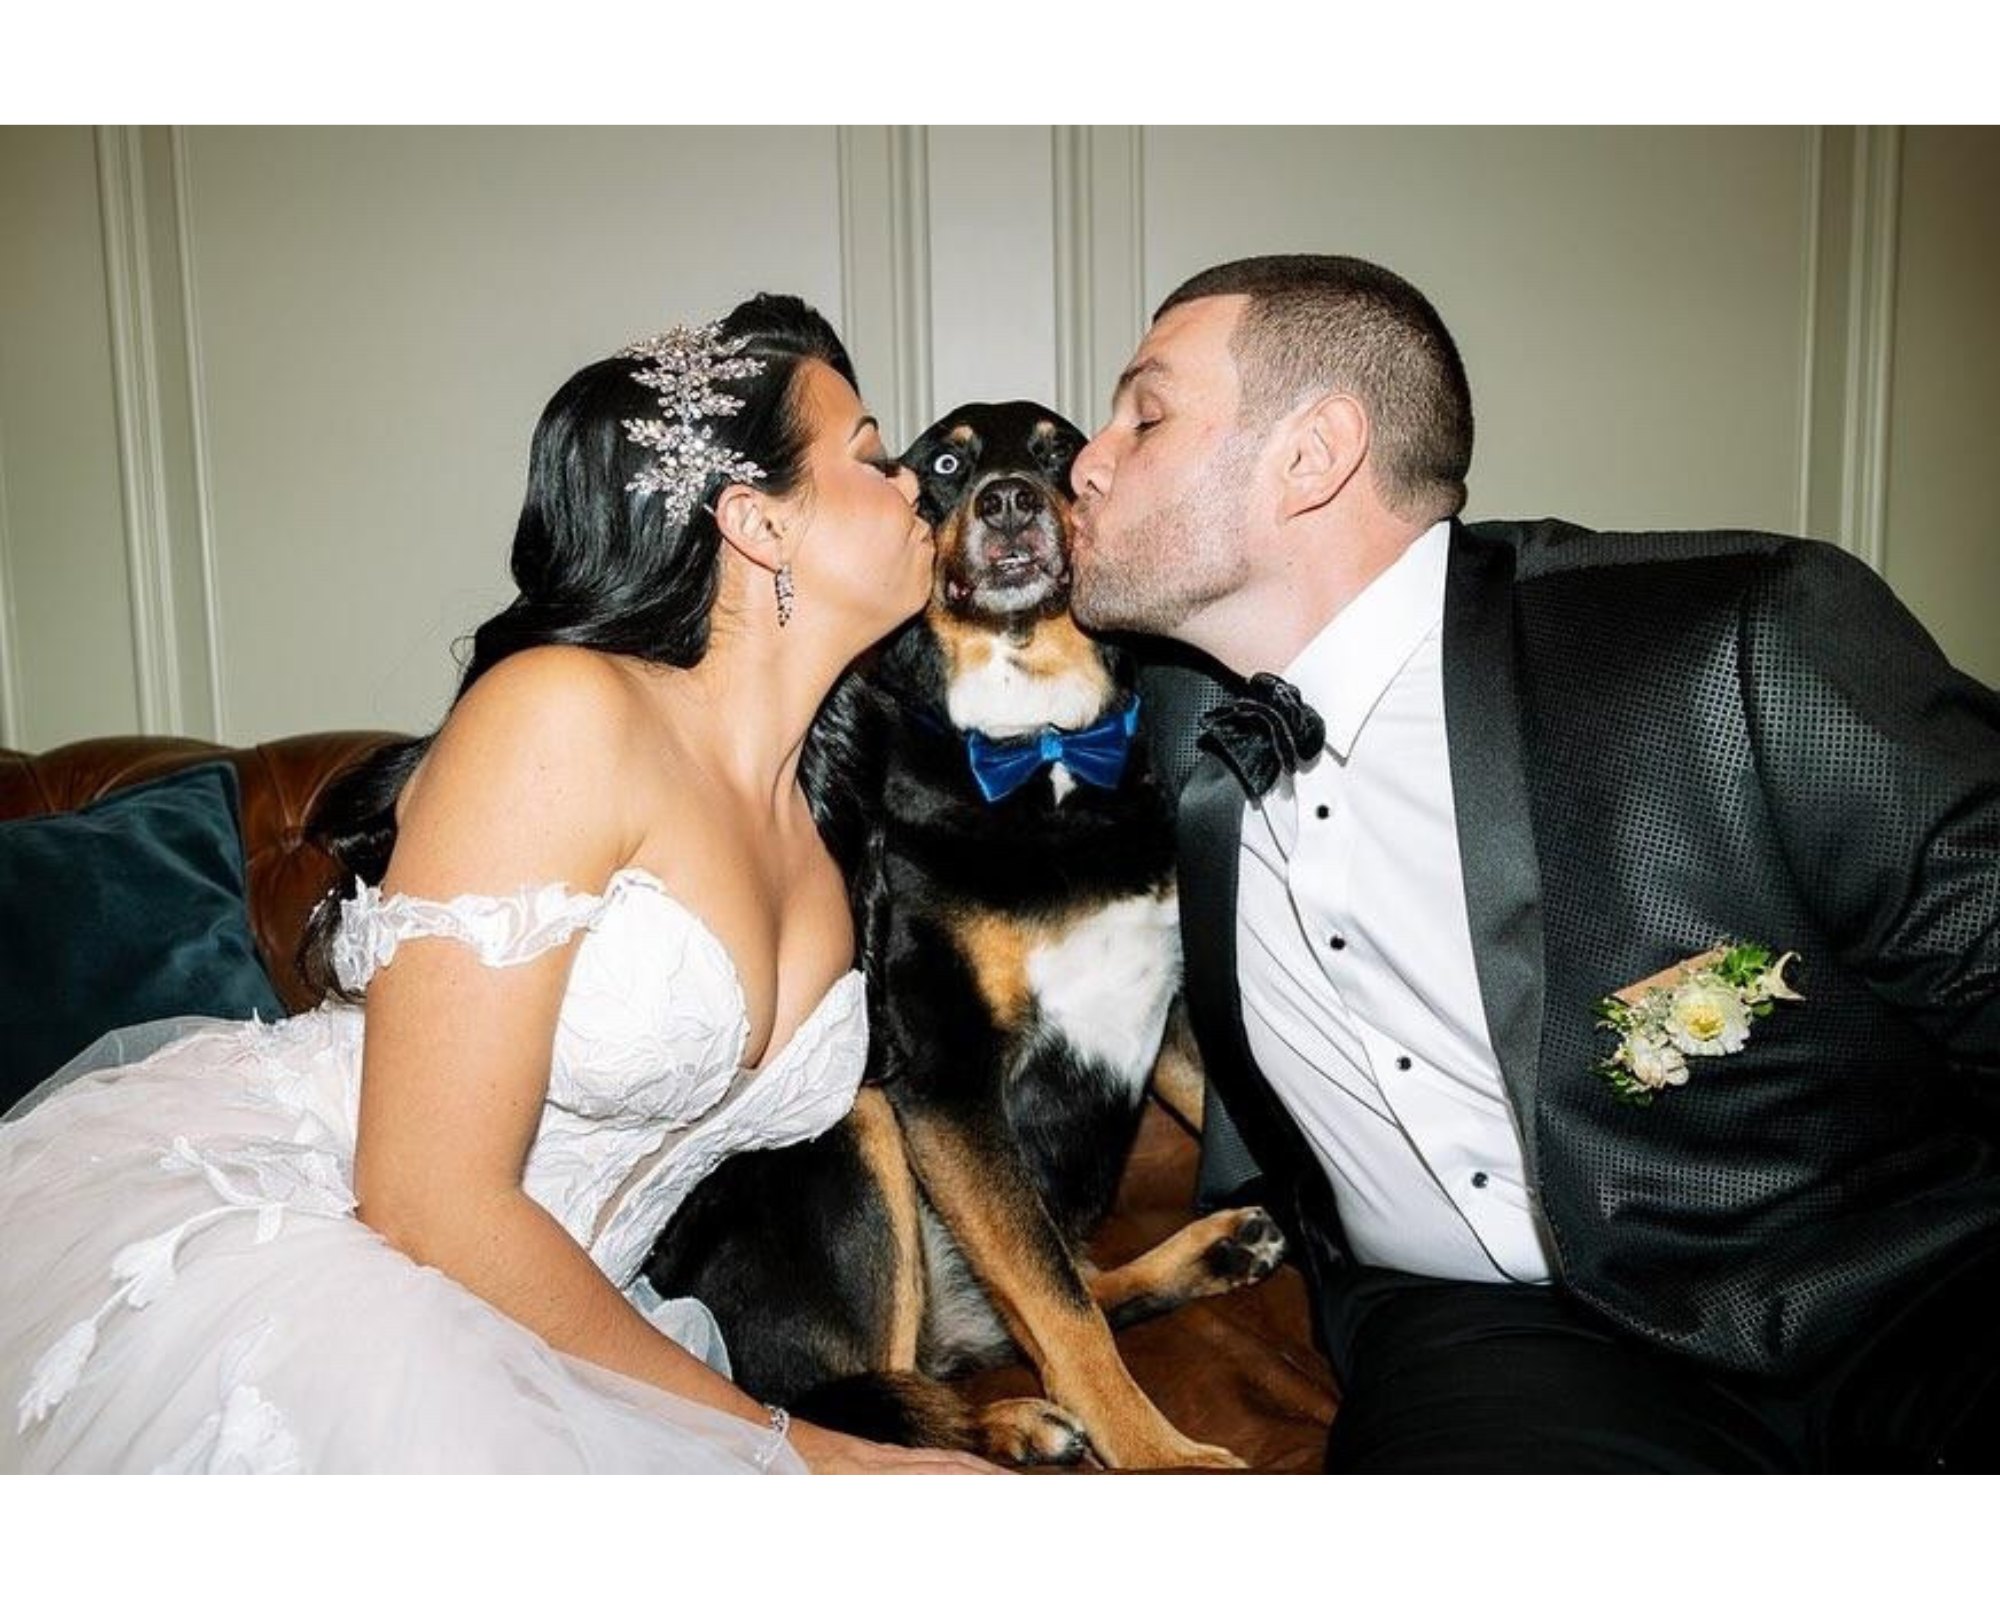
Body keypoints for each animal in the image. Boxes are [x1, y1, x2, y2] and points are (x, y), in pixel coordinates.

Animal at [644, 396, 1296, 1464]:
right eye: (945, 465)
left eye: (1060, 452)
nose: (1010, 502)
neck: (1044, 752)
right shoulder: (945, 1078)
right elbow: (1058, 1307)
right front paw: (1162, 1457)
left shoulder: (1168, 1017)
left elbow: (1070, 1275)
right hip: (860, 1120)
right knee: (850, 1399)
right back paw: (1012, 1422)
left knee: (1050, 1294)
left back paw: (1210, 1253)